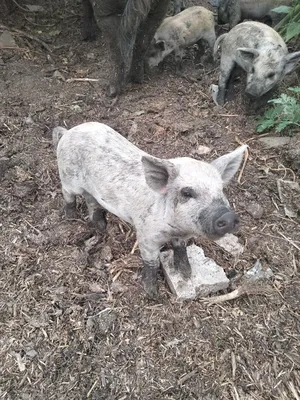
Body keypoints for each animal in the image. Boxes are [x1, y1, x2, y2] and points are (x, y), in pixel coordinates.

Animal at [53, 122, 246, 296]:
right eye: (187, 192)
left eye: (221, 189)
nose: (228, 217)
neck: (176, 228)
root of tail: (68, 132)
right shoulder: (146, 235)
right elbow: (151, 262)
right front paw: (151, 293)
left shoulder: (182, 236)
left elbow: (181, 250)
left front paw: (187, 274)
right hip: (68, 177)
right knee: (68, 194)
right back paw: (71, 217)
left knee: (91, 201)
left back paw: (101, 227)